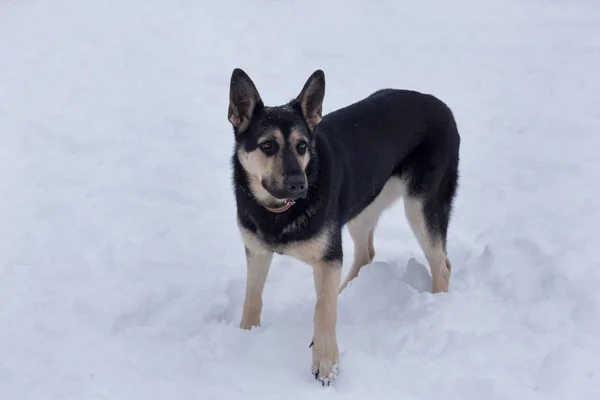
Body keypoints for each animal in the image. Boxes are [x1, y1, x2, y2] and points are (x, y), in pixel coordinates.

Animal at [227, 68, 462, 384]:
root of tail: (442, 105)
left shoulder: (327, 257)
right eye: (267, 146)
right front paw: (245, 336)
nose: (298, 184)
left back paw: (435, 306)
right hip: (361, 208)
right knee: (366, 254)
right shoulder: (258, 251)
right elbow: (252, 298)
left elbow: (323, 310)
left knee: (441, 264)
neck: (280, 211)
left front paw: (325, 364)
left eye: (302, 146)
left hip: (421, 206)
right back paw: (347, 292)